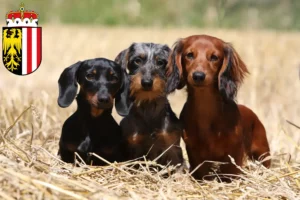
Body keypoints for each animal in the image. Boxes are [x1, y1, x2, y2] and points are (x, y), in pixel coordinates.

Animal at [168, 34, 270, 181]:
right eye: (189, 55)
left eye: (214, 57)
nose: (198, 76)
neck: (206, 108)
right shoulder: (194, 152)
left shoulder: (233, 153)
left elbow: (230, 173)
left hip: (262, 152)